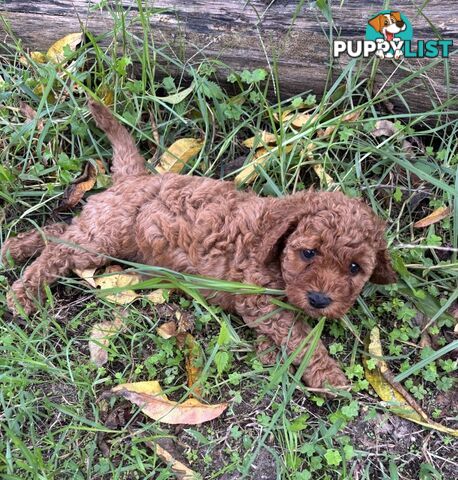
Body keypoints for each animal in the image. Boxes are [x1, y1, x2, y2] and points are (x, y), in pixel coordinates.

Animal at [2, 101, 398, 390]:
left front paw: (273, 353)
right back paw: (23, 292)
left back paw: (10, 250)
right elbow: (300, 336)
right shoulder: (255, 297)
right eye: (308, 253)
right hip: (105, 235)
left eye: (354, 268)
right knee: (59, 250)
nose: (319, 300)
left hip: (103, 228)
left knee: (59, 230)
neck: (274, 246)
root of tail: (133, 177)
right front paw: (328, 374)